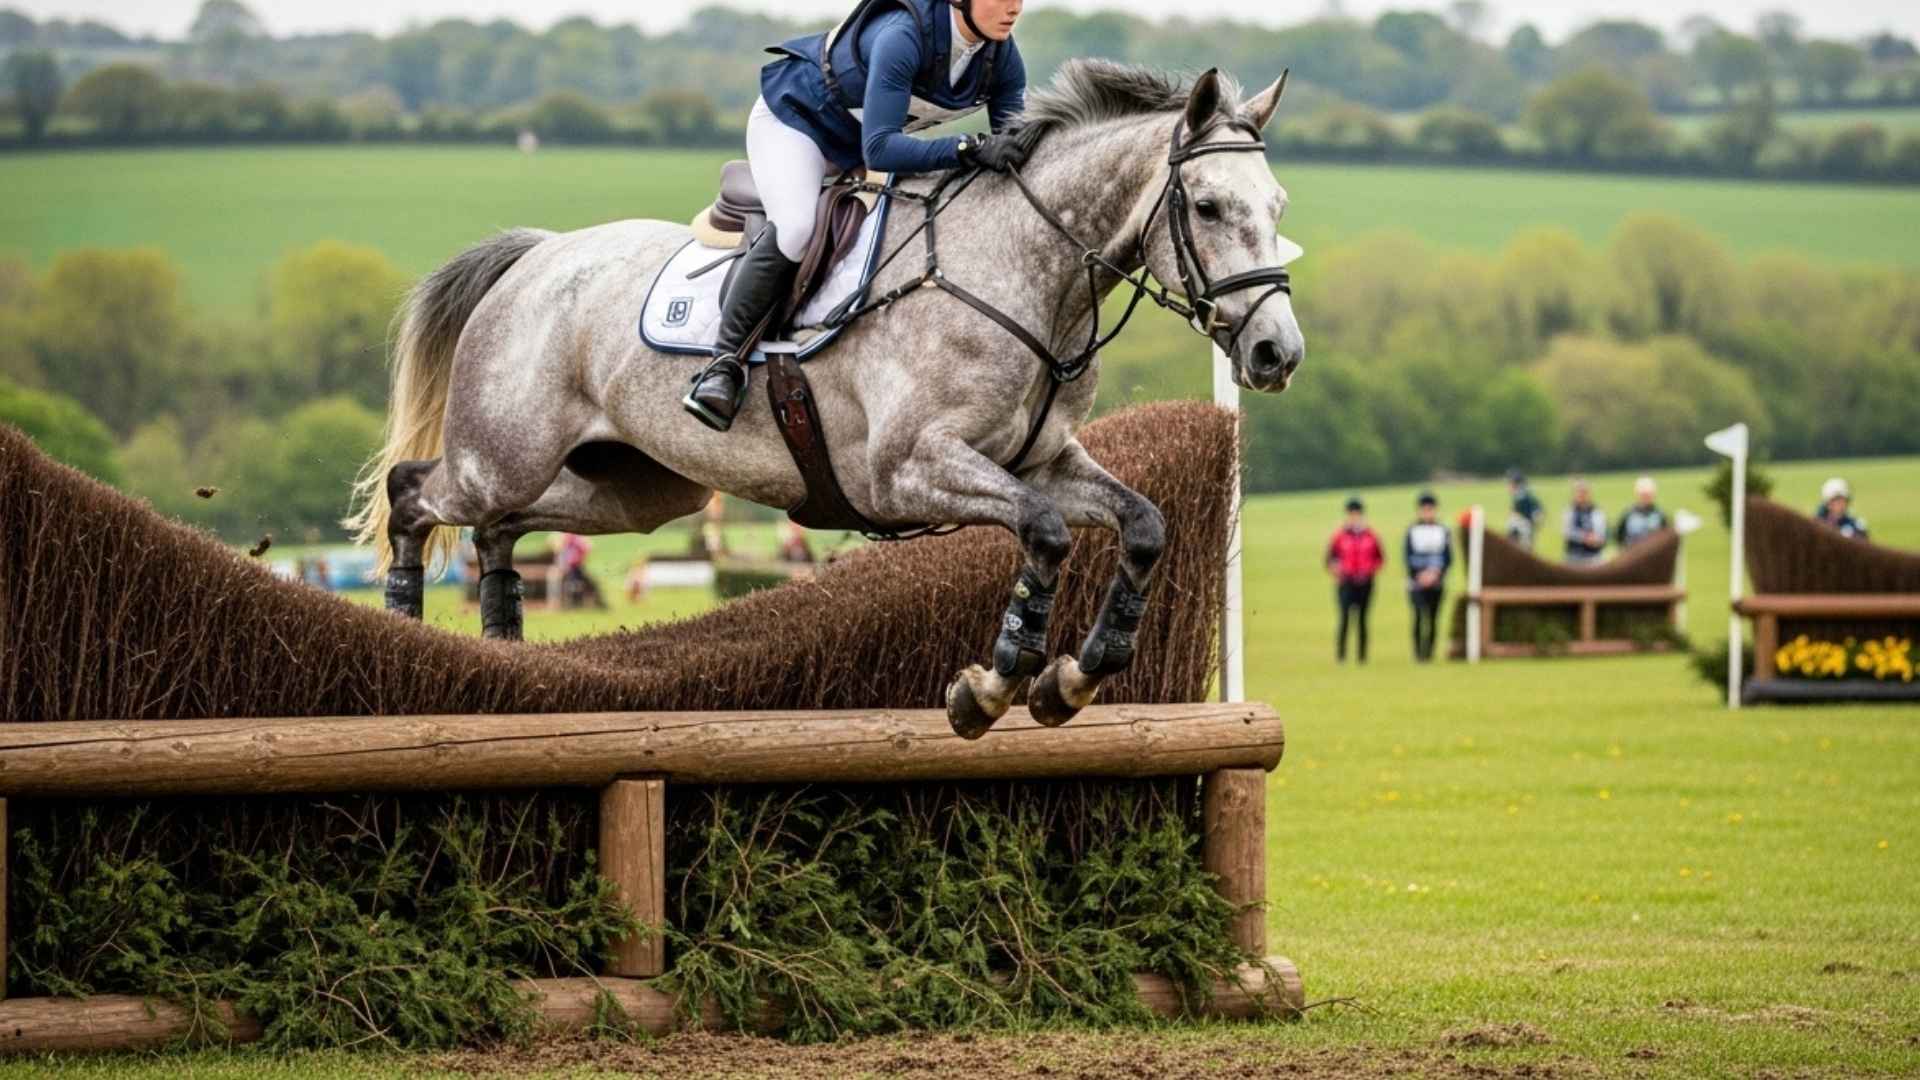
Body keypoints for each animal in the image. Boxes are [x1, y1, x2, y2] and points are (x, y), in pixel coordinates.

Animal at [345, 60, 1306, 739]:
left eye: (1278, 204)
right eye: (1208, 205)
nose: (1276, 354)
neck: (1024, 274)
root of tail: (537, 255)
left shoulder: (1043, 460)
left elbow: (1142, 524)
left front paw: (1073, 679)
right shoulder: (909, 471)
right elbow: (1042, 533)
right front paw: (990, 687)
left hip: (634, 487)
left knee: (501, 529)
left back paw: (504, 663)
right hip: (502, 454)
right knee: (416, 495)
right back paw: (403, 642)